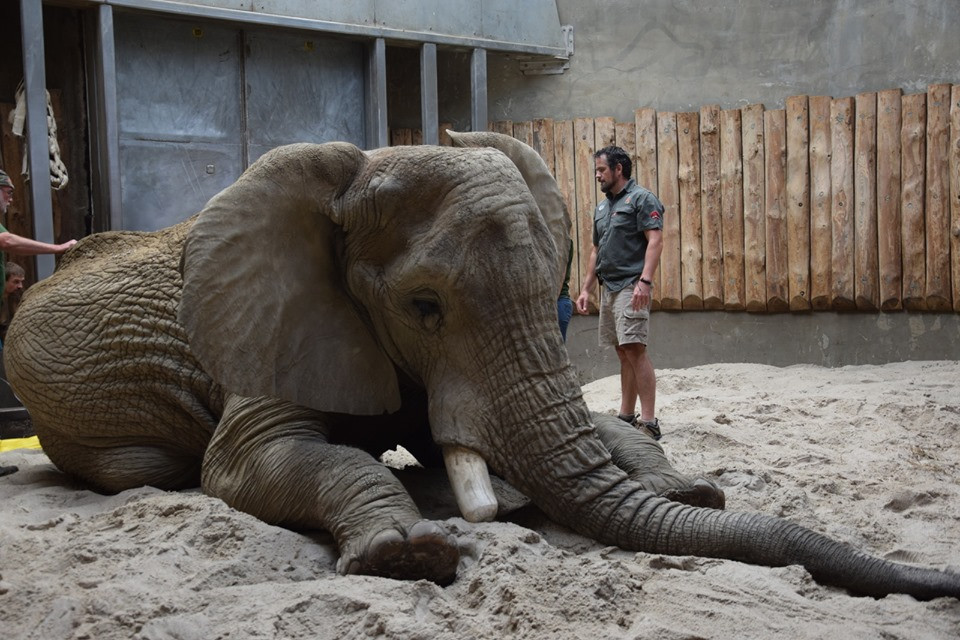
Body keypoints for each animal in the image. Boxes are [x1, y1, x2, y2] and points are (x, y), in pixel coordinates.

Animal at [3, 131, 956, 600]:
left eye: (556, 287)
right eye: (424, 306)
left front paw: (688, 490)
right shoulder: (270, 334)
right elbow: (245, 465)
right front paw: (407, 556)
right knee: (148, 473)